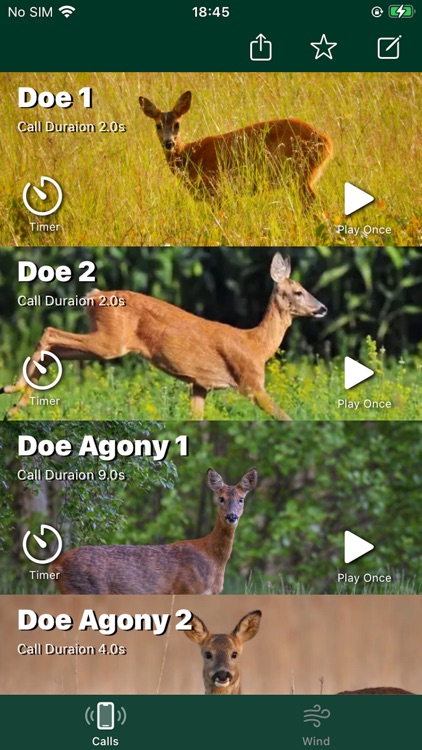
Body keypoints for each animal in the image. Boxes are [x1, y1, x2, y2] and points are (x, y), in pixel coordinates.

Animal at [0, 253, 327, 420]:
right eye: (298, 291)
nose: (322, 308)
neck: (256, 345)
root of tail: (93, 296)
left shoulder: (200, 385)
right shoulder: (250, 383)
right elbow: (284, 417)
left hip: (103, 341)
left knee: (56, 346)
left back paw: (16, 403)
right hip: (110, 342)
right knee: (50, 331)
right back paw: (15, 392)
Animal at [49, 467, 257, 595]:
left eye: (241, 499)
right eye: (221, 498)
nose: (231, 516)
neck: (213, 559)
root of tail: (55, 566)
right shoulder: (186, 589)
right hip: (87, 589)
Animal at [139, 91, 333, 203]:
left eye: (177, 124)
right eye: (158, 125)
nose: (169, 143)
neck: (190, 156)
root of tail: (327, 143)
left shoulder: (215, 188)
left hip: (300, 174)